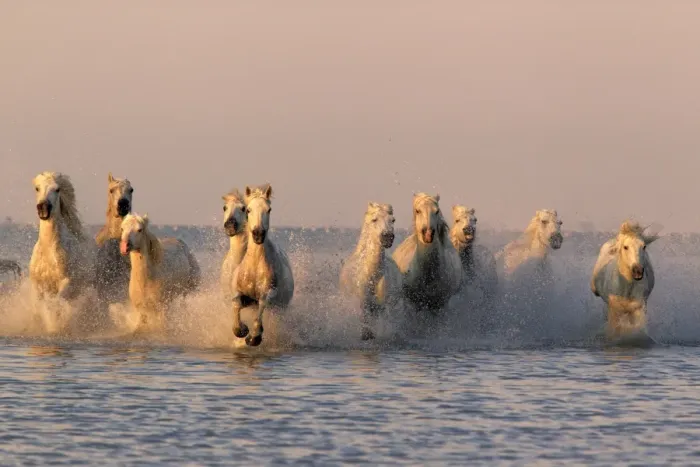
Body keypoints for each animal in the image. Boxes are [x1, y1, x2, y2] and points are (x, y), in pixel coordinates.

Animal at [29, 171, 95, 332]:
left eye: (57, 189)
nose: (43, 208)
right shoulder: (37, 284)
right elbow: (40, 304)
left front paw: (55, 326)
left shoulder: (66, 283)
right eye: (37, 188)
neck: (49, 252)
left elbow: (55, 304)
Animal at [230, 184, 294, 347]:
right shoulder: (242, 295)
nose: (258, 234)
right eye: (248, 210)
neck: (254, 267)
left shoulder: (268, 294)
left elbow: (262, 306)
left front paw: (254, 337)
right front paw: (241, 330)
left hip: (281, 308)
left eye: (269, 209)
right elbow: (236, 304)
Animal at [339, 202, 402, 340]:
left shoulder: (384, 307)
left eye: (393, 220)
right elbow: (366, 331)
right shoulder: (364, 306)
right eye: (374, 219)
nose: (387, 237)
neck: (373, 275)